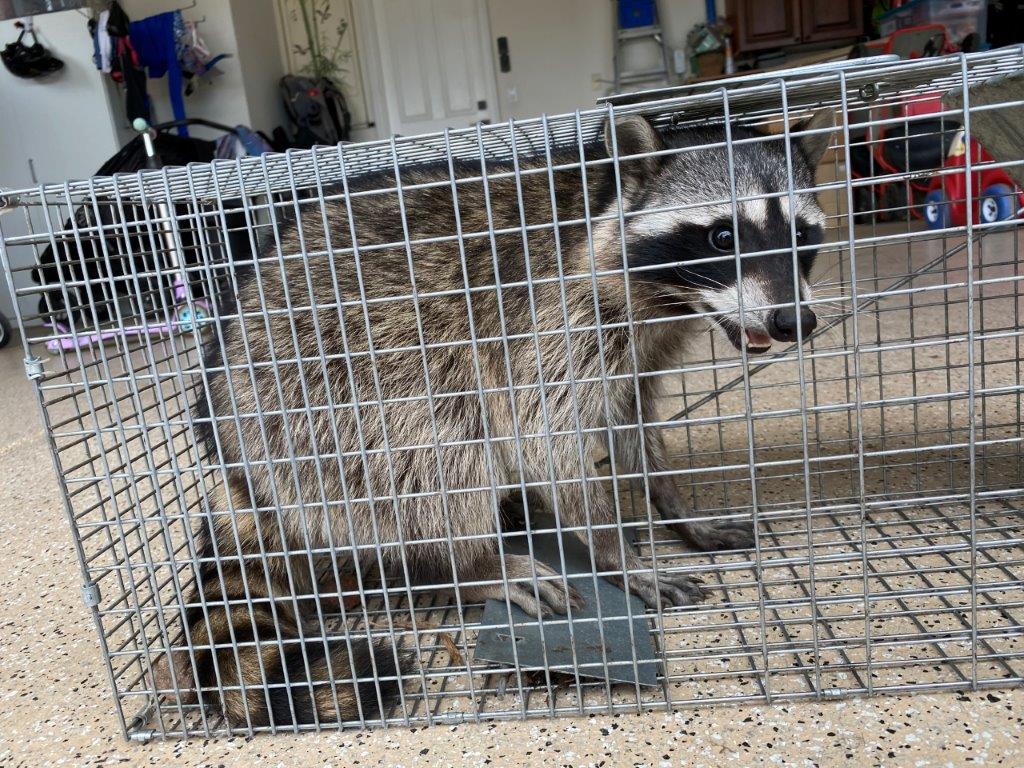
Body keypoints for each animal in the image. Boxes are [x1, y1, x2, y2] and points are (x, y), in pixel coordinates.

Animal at [165, 111, 833, 728]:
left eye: (801, 237)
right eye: (722, 237)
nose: (792, 322)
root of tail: (234, 463)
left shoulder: (642, 348)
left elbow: (632, 424)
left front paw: (675, 509)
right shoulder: (545, 317)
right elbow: (542, 439)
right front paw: (614, 548)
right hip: (317, 399)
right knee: (437, 443)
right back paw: (465, 563)